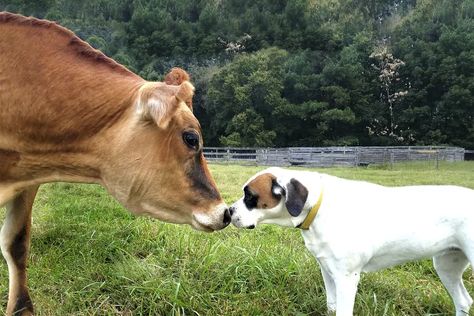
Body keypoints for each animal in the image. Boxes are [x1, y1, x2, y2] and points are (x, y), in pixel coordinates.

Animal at [230, 167, 474, 314]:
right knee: (463, 301)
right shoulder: (328, 271)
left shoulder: (346, 278)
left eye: (250, 196)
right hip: (446, 266)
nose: (229, 211)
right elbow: (331, 305)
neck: (318, 207)